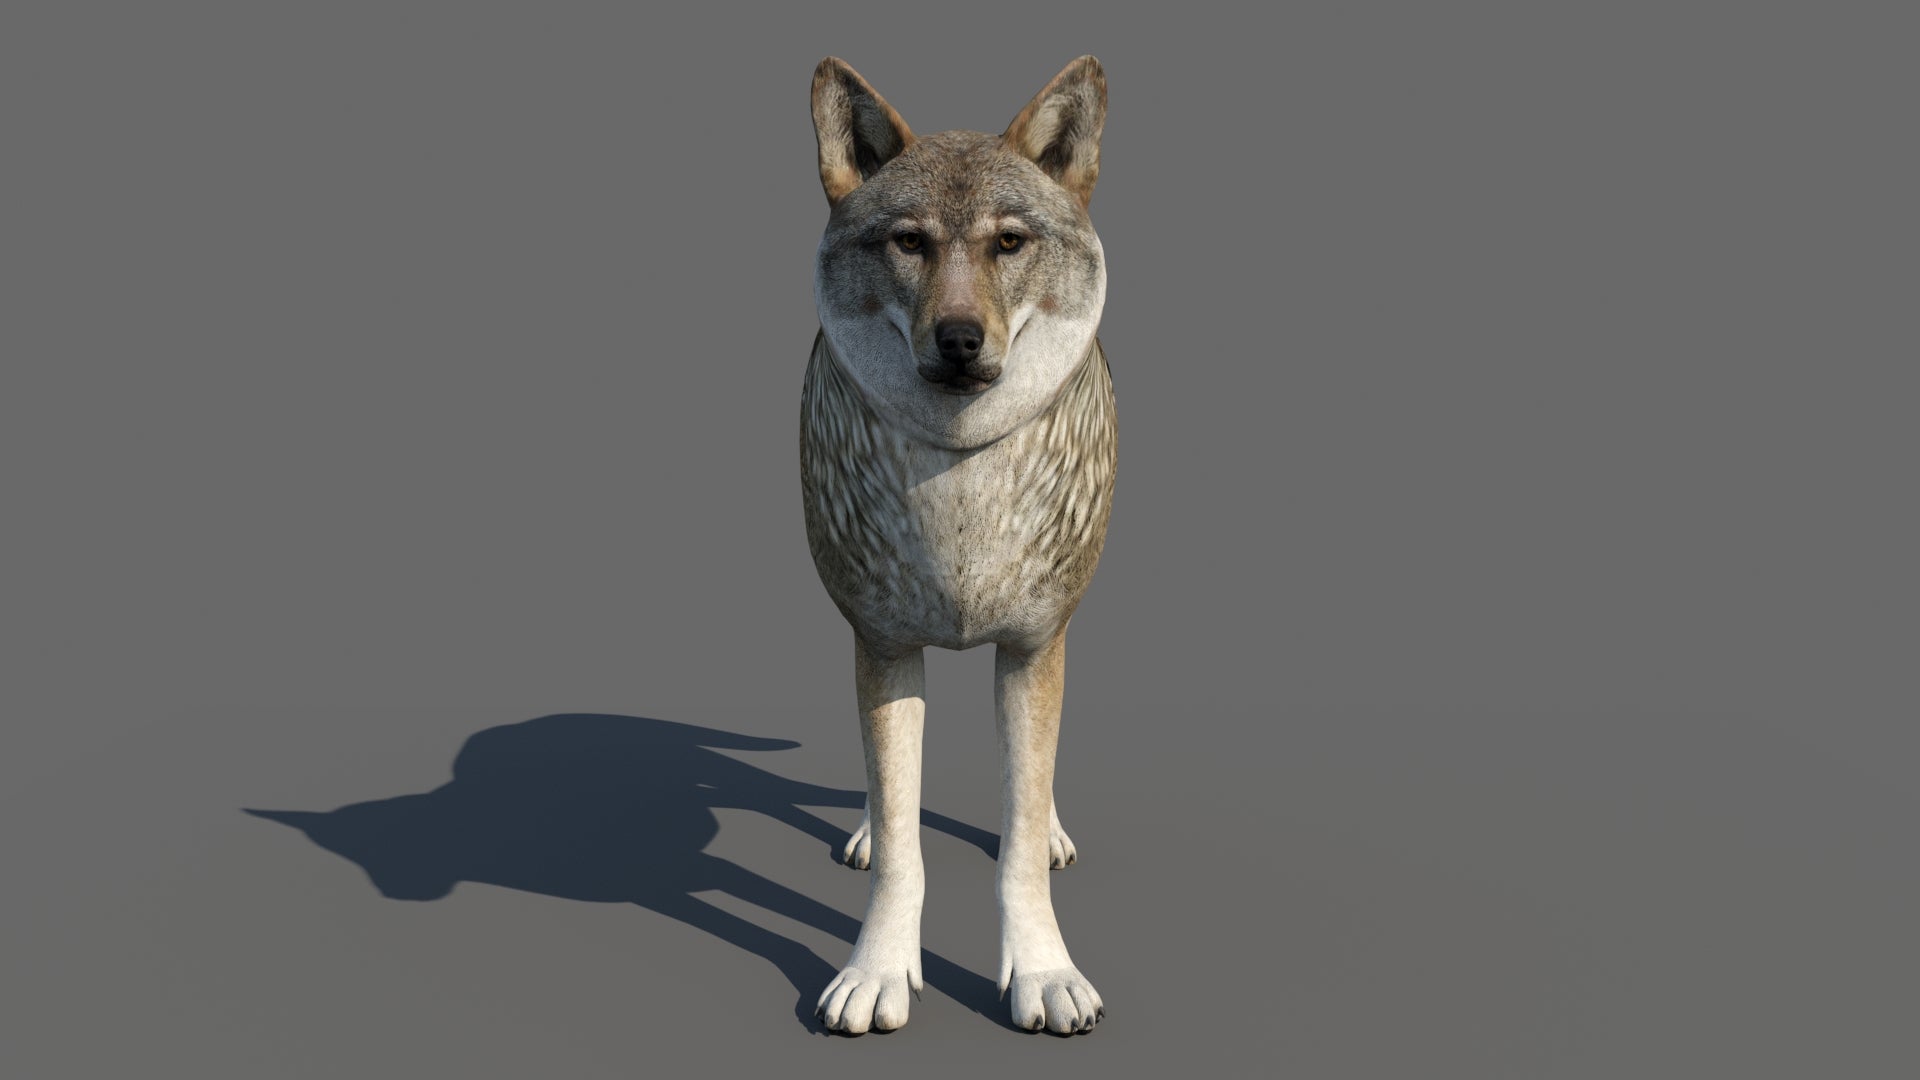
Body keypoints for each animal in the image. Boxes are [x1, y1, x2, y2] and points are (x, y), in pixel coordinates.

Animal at [800, 56, 1116, 1035]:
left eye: (1008, 243)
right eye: (910, 243)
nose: (961, 340)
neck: (961, 479)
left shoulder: (1033, 649)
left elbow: (1015, 837)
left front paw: (1044, 973)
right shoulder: (883, 645)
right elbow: (905, 842)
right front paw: (877, 971)